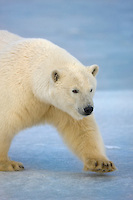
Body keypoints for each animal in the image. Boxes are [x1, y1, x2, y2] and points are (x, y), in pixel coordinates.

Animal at [0, 30, 116, 173]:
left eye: (91, 89)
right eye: (75, 90)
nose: (88, 108)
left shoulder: (59, 107)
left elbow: (81, 129)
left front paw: (101, 163)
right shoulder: (15, 95)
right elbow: (5, 124)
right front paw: (10, 164)